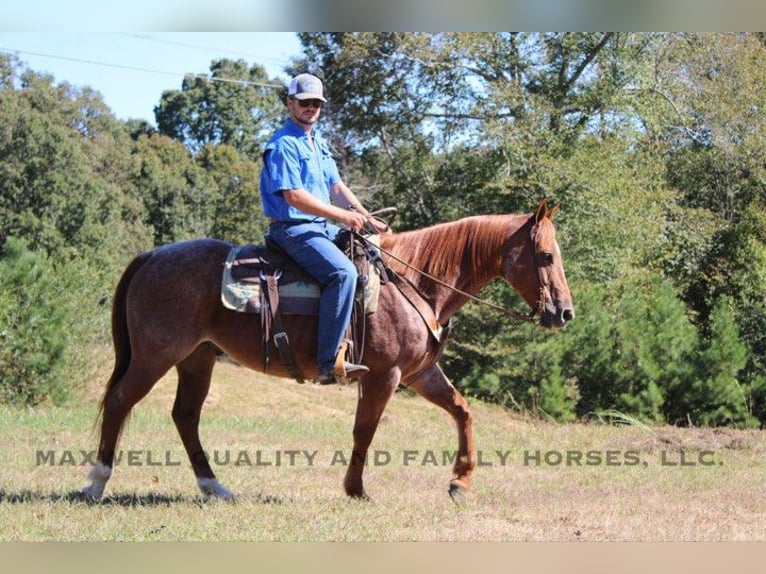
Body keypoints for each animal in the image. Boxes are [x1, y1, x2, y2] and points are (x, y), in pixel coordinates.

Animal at [81, 198, 574, 503]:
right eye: (546, 256)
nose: (564, 312)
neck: (416, 282)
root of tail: (151, 256)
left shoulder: (419, 375)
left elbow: (463, 411)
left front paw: (460, 483)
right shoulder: (385, 376)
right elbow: (364, 431)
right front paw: (356, 489)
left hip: (196, 358)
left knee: (185, 416)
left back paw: (214, 487)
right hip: (155, 356)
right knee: (121, 401)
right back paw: (96, 483)